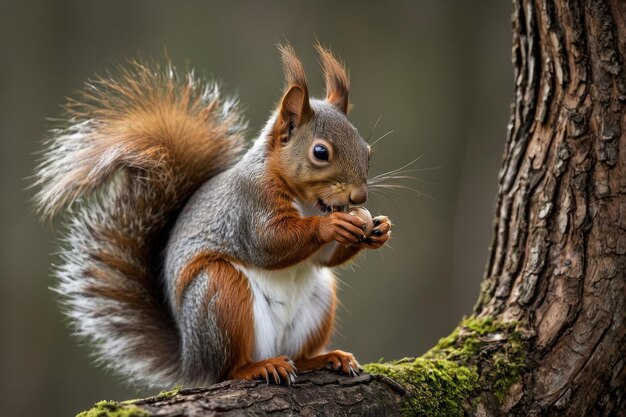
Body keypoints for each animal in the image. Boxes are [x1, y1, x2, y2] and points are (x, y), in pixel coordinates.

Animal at [34, 44, 390, 386]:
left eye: (368, 151)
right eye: (320, 152)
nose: (359, 197)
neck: (306, 201)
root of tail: (192, 361)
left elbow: (324, 259)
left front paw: (380, 228)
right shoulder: (248, 205)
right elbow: (269, 243)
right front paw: (331, 224)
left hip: (317, 302)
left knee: (299, 357)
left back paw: (325, 358)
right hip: (220, 294)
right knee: (228, 368)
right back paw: (258, 367)